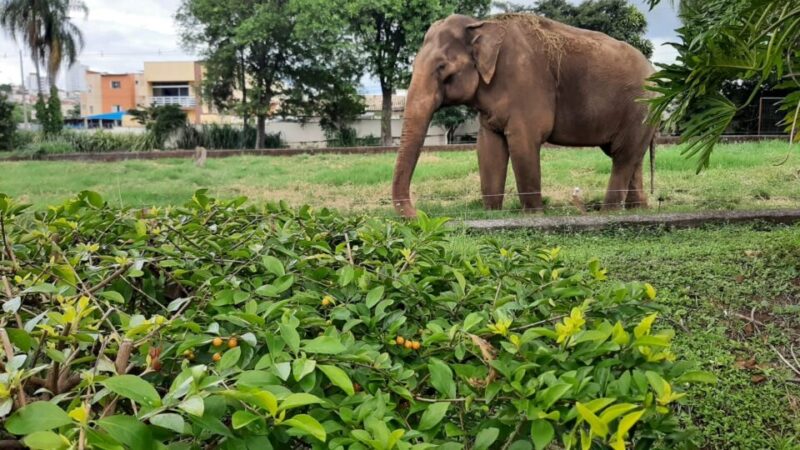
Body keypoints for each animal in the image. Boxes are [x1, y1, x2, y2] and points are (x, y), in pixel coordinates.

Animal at [391, 13, 657, 218]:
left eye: (442, 68)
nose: (419, 215)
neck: (482, 24)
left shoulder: (525, 84)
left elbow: (523, 143)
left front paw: (533, 214)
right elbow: (488, 148)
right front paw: (492, 213)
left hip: (640, 108)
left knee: (623, 156)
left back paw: (608, 212)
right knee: (631, 156)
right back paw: (637, 209)